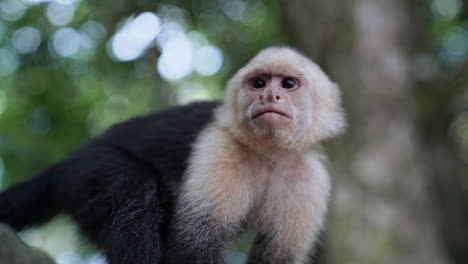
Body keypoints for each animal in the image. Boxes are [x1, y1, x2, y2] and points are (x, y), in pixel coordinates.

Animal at [0, 47, 344, 264]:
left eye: (288, 83)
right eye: (258, 83)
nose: (269, 95)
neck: (268, 153)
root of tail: (69, 160)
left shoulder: (309, 177)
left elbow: (277, 256)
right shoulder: (220, 149)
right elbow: (193, 249)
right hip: (88, 168)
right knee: (133, 190)